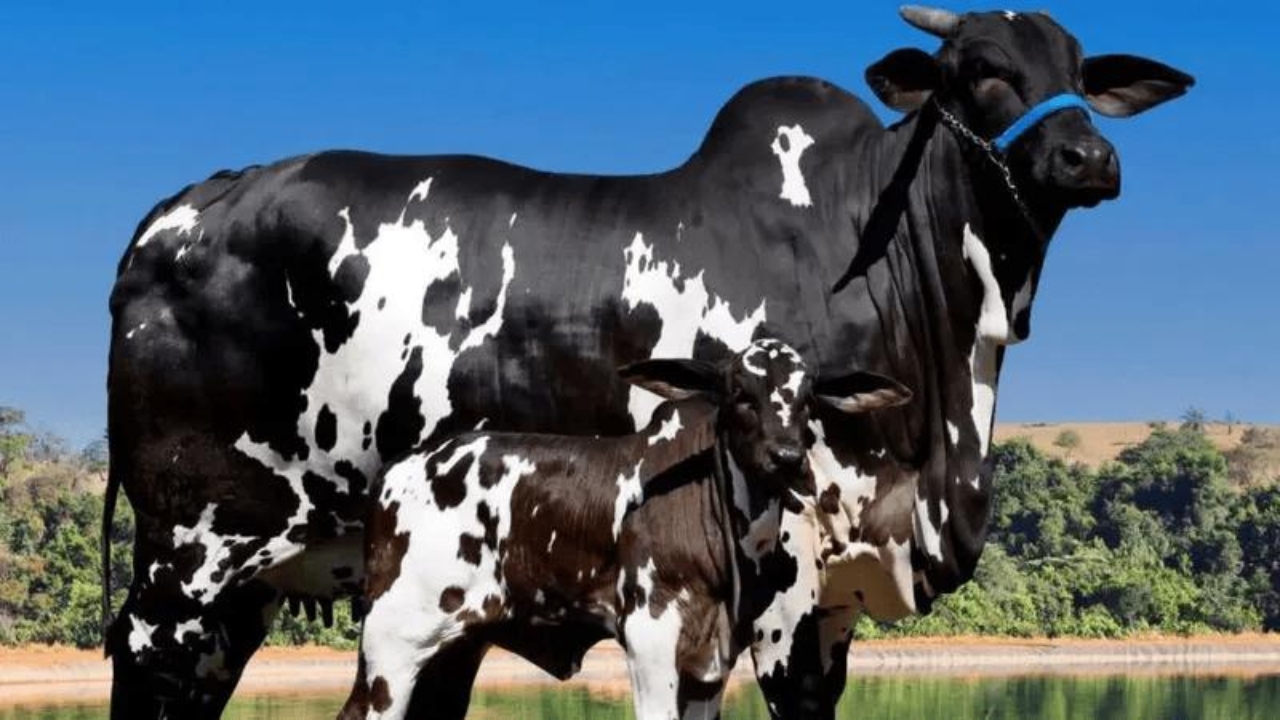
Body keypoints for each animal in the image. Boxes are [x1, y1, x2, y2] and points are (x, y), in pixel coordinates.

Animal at [337, 339, 911, 720]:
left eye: (808, 400)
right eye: (739, 394)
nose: (788, 458)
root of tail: (398, 469)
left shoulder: (709, 665)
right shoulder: (649, 635)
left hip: (451, 652)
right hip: (390, 647)